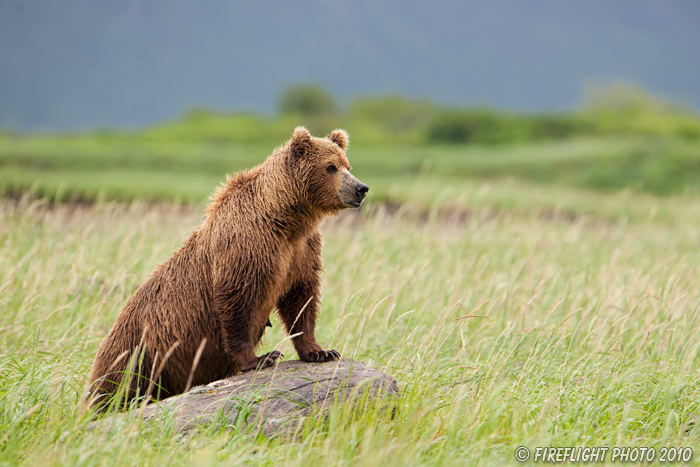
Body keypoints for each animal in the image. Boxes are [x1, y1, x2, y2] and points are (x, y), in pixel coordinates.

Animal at [87, 126, 366, 412]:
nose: (361, 188)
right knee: (117, 388)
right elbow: (237, 301)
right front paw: (262, 358)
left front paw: (321, 351)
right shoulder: (246, 246)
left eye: (347, 165)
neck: (287, 220)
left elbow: (301, 298)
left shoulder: (302, 251)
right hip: (138, 353)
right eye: (330, 167)